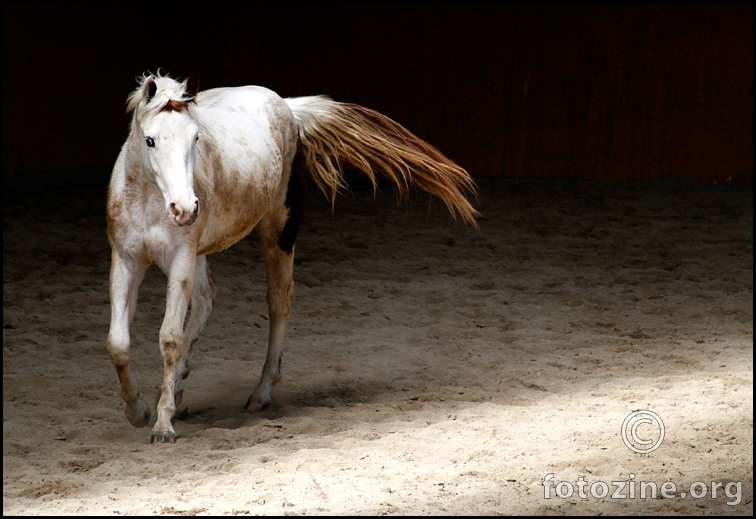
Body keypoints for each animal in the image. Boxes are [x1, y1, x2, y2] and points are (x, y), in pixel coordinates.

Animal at [106, 71, 478, 444]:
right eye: (150, 140)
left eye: (195, 137)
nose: (185, 209)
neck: (148, 201)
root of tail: (286, 106)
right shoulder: (126, 261)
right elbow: (119, 344)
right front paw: (138, 411)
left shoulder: (181, 259)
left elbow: (170, 338)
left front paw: (162, 426)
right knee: (206, 299)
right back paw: (180, 391)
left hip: (279, 232)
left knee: (278, 302)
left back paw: (260, 393)